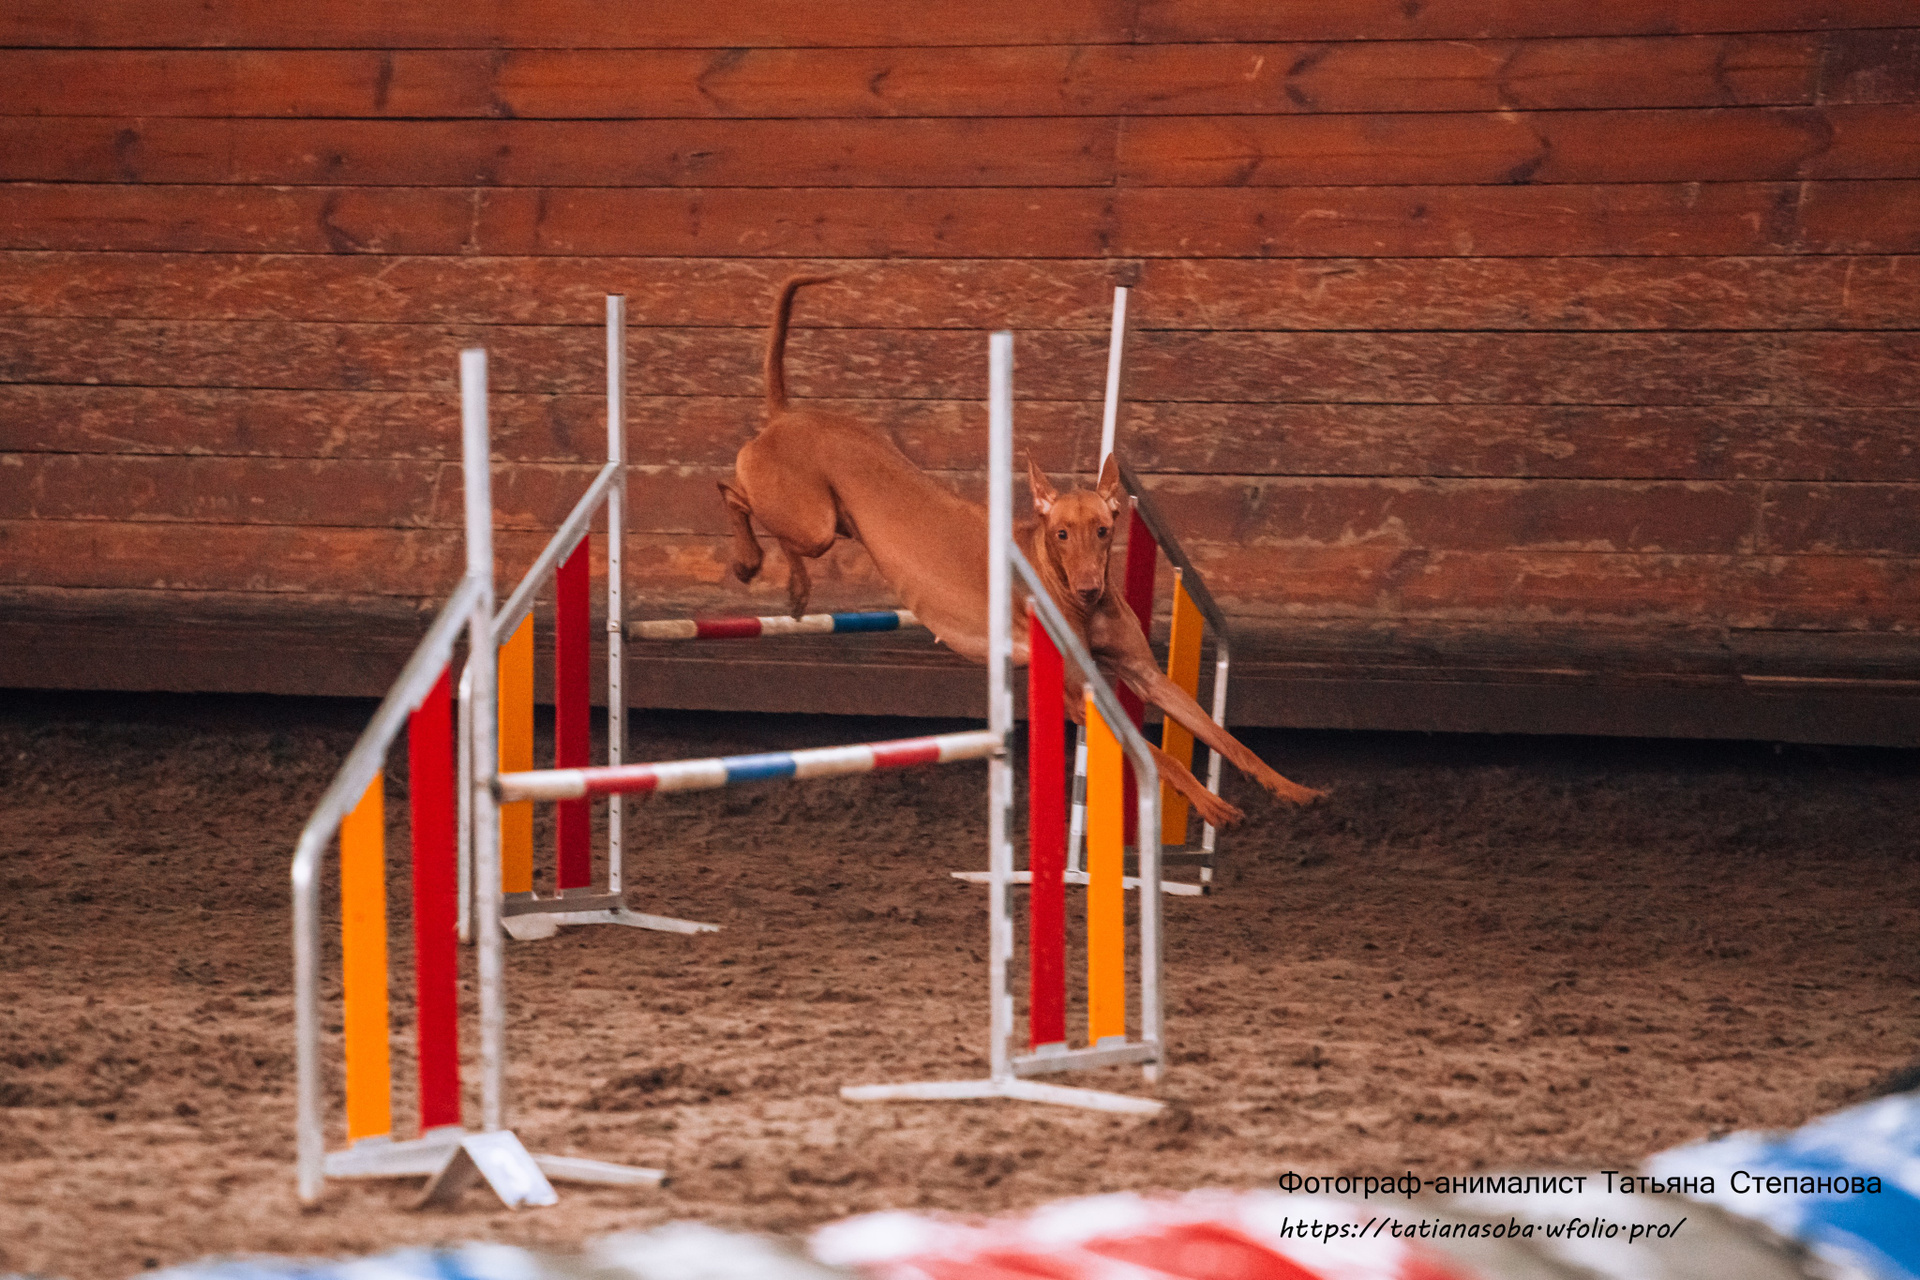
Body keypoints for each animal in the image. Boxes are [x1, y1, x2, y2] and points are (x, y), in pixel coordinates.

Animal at [718, 277, 1321, 827]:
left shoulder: (1144, 675)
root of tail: (787, 414)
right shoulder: (1079, 695)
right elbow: (1159, 758)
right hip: (812, 521)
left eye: (1104, 530)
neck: (1067, 593)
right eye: (1061, 534)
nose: (1090, 587)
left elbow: (1223, 737)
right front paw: (1211, 805)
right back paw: (764, 568)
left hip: (830, 523)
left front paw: (1293, 790)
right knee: (731, 490)